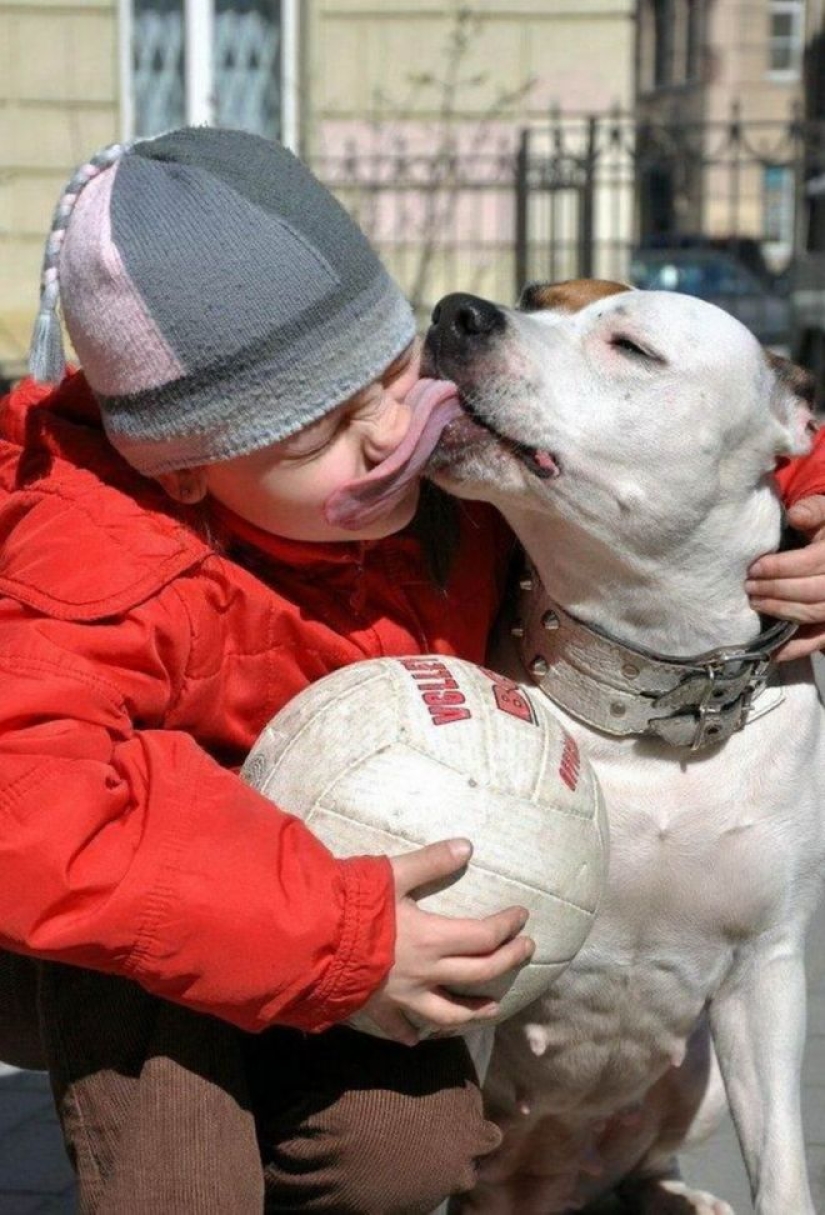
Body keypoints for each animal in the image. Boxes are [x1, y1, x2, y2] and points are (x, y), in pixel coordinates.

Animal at [425, 281, 825, 1215]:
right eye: (534, 298)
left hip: (703, 1072)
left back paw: (678, 1195)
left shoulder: (767, 970)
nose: (457, 311)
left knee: (649, 1158)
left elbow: (783, 1166)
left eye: (632, 348)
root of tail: (548, 1184)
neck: (654, 689)